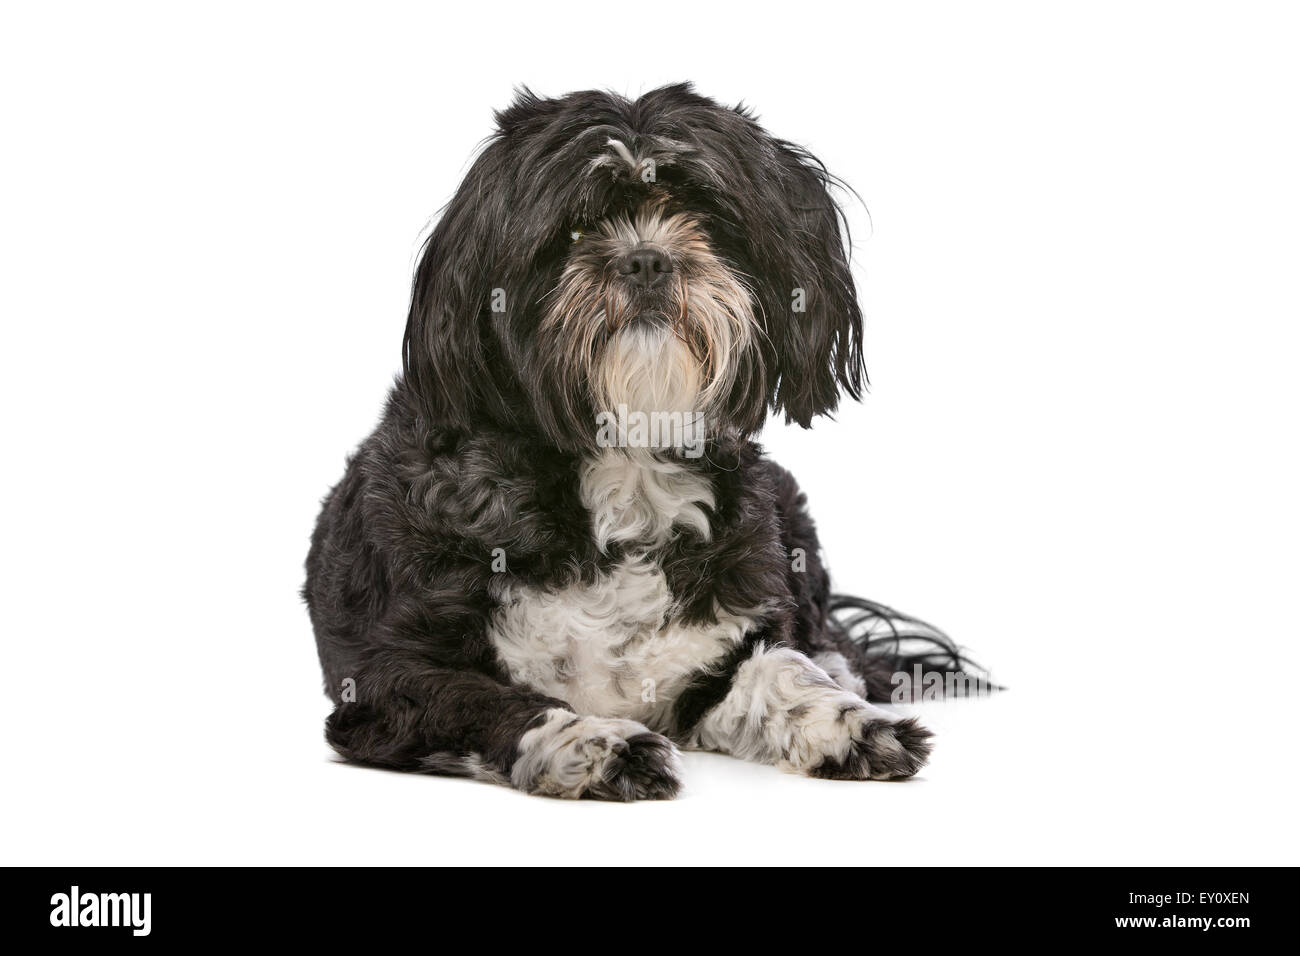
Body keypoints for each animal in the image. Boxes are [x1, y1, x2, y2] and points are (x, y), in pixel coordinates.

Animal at [306, 83, 977, 801]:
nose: (646, 259)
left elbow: (780, 672)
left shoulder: (715, 658)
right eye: (574, 230)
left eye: (702, 218)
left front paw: (849, 723)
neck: (627, 465)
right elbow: (494, 701)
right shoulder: (389, 680)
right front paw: (591, 742)